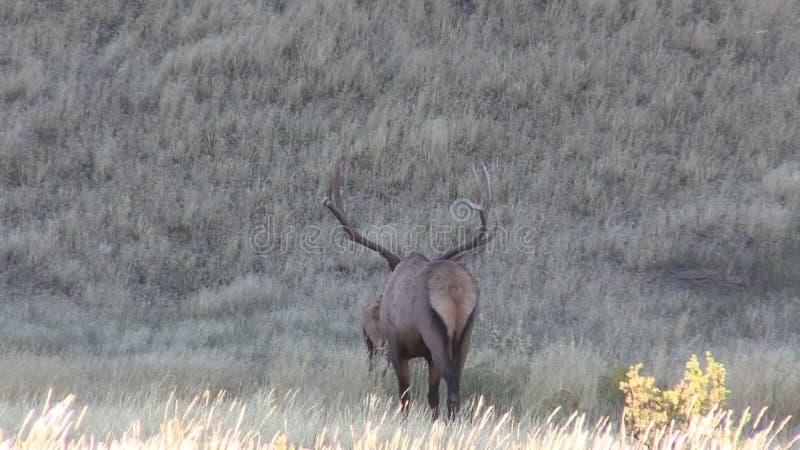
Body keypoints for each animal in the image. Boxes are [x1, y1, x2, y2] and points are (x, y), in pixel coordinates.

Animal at [322, 156, 490, 420]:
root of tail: (455, 290)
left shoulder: (396, 345)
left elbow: (404, 395)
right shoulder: (426, 354)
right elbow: (432, 397)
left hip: (433, 331)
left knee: (451, 382)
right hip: (466, 333)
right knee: (455, 382)